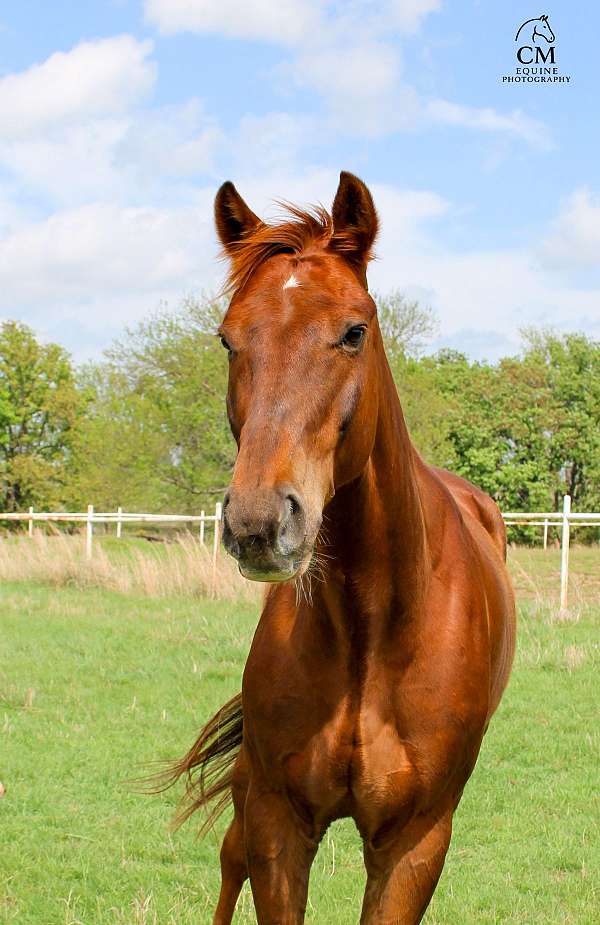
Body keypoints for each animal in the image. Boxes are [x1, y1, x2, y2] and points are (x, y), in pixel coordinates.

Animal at [164, 172, 516, 924]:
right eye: (228, 340)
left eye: (354, 332)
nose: (259, 521)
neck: (371, 632)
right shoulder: (278, 824)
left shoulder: (413, 842)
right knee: (229, 857)